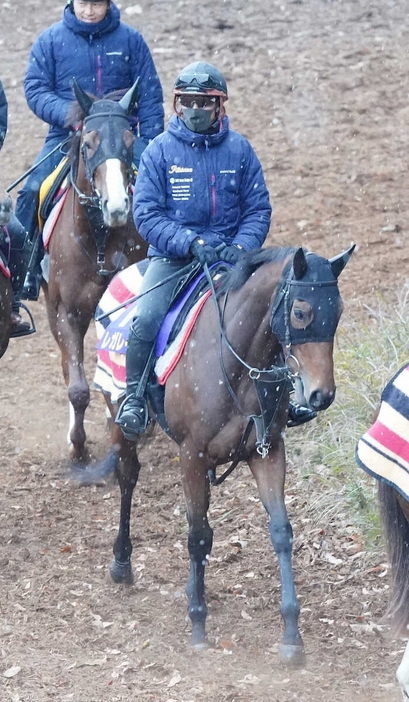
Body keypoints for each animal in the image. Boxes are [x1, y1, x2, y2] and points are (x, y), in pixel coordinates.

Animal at [42, 81, 147, 468]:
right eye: (88, 144)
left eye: (130, 140)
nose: (117, 207)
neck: (99, 241)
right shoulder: (66, 313)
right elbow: (77, 388)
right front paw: (78, 446)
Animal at [90, 246, 354, 664]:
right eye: (300, 312)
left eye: (339, 310)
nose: (321, 395)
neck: (237, 363)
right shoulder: (192, 456)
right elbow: (197, 536)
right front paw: (198, 624)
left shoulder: (267, 452)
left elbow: (280, 532)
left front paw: (291, 635)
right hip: (118, 413)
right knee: (128, 476)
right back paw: (121, 563)